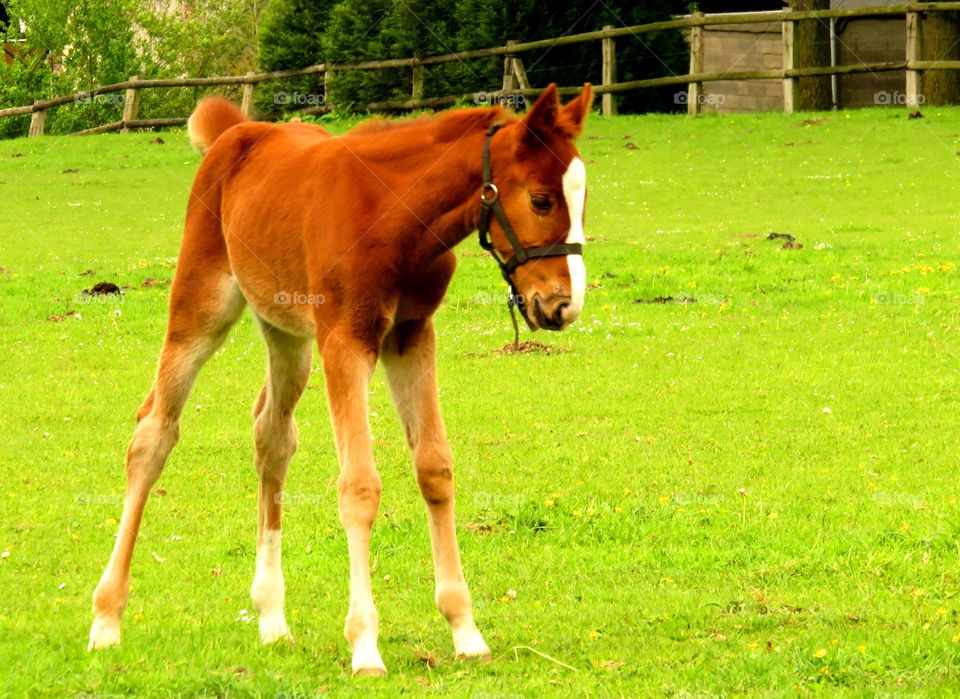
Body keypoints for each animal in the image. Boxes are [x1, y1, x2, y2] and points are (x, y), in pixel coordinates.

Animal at [90, 83, 596, 680]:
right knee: (154, 433)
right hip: (202, 304)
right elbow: (359, 486)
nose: (564, 306)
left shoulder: (411, 335)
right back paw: (106, 619)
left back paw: (272, 618)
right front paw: (365, 645)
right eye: (541, 200)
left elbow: (435, 468)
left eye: (582, 201)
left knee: (272, 435)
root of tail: (236, 132)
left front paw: (465, 631)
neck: (396, 216)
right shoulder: (345, 341)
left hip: (287, 333)